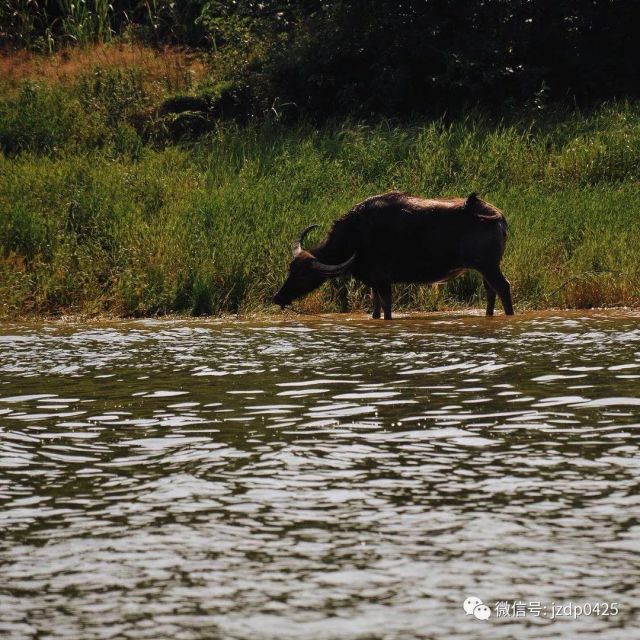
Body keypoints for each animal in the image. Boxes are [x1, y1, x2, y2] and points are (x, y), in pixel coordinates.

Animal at [272, 190, 512, 320]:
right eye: (290, 268)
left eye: (304, 275)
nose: (278, 297)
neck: (357, 234)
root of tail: (497, 215)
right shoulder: (372, 282)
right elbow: (376, 308)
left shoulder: (383, 279)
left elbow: (387, 307)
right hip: (485, 268)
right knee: (490, 291)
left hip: (489, 266)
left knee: (503, 287)